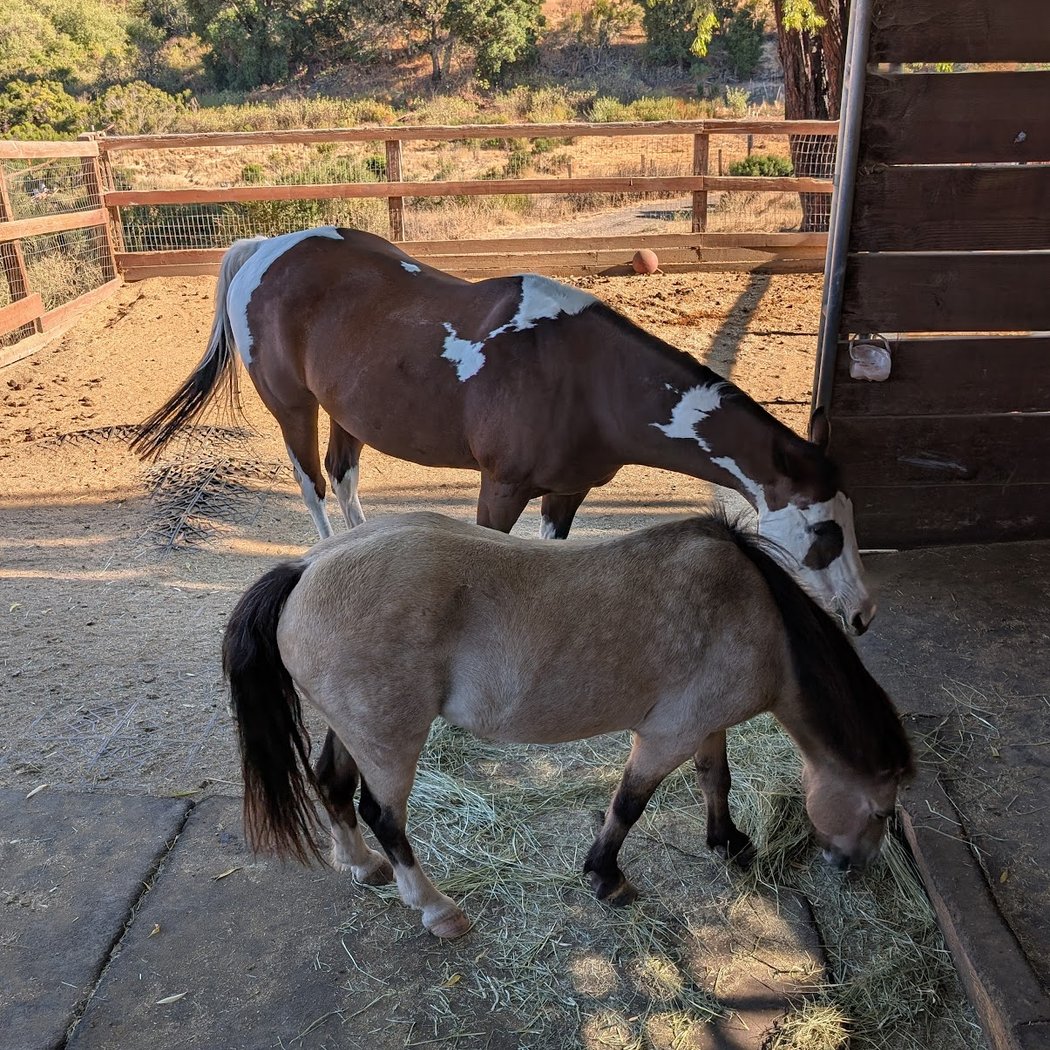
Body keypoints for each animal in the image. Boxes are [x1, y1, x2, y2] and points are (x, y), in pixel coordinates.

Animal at [133, 226, 876, 634]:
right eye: (824, 530)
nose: (863, 614)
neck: (583, 377)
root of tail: (266, 250)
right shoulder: (502, 486)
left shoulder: (566, 492)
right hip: (295, 409)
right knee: (313, 483)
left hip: (347, 414)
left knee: (343, 479)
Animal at [223, 511, 913, 939]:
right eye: (883, 812)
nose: (851, 866)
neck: (758, 617)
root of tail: (306, 569)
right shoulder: (663, 737)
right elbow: (629, 804)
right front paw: (606, 876)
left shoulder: (703, 727)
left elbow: (715, 779)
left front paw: (729, 842)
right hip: (390, 745)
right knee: (384, 816)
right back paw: (436, 910)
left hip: (357, 733)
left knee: (333, 786)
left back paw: (362, 866)